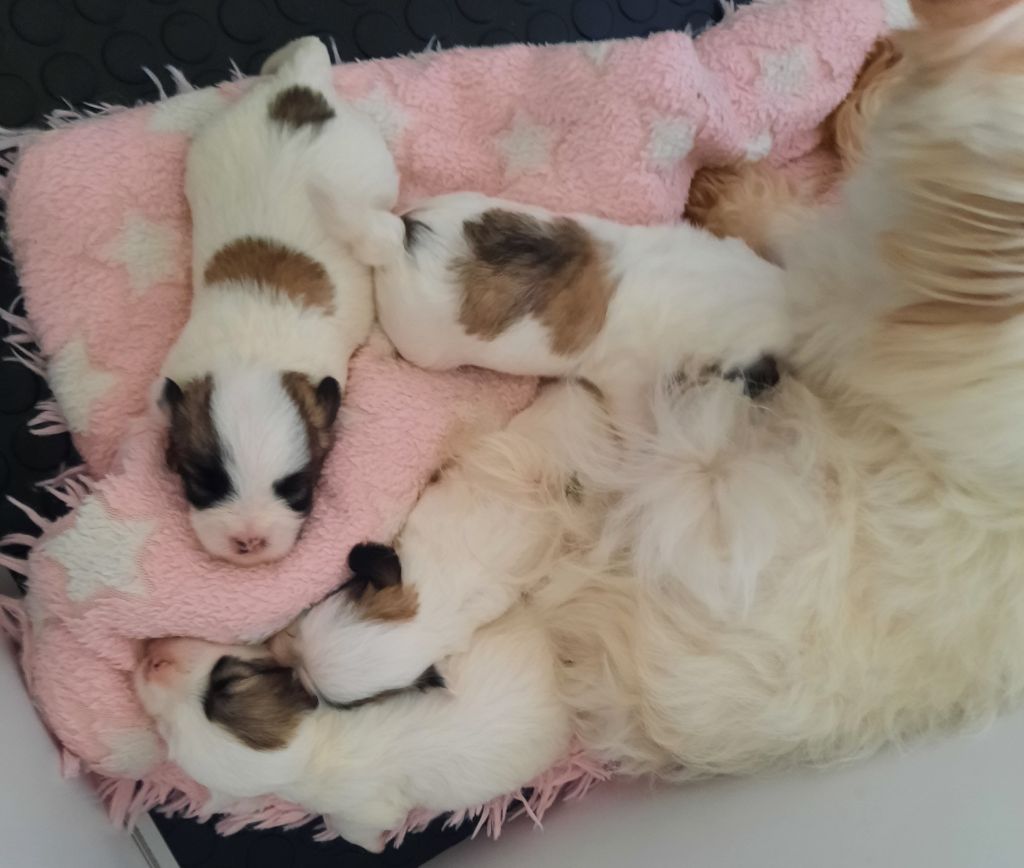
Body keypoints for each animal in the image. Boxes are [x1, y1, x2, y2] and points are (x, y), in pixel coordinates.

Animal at [132, 605, 573, 859]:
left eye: (227, 683)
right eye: (166, 731)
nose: (152, 662)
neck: (314, 750)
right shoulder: (356, 810)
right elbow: (353, 831)